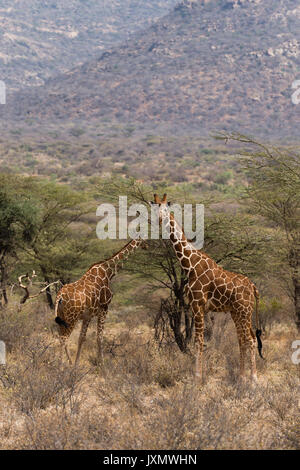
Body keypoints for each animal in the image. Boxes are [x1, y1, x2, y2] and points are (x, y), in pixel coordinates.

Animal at [55, 239, 147, 368]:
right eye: (145, 239)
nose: (147, 246)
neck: (108, 272)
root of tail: (60, 296)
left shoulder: (87, 316)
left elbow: (81, 338)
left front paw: (76, 365)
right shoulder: (104, 308)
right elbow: (100, 337)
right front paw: (102, 366)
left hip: (62, 318)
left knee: (61, 338)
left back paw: (68, 363)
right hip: (71, 318)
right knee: (64, 339)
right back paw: (59, 366)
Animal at [152, 194, 262, 382]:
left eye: (166, 208)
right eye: (154, 208)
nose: (160, 219)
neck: (190, 264)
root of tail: (253, 287)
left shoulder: (198, 305)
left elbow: (198, 341)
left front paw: (197, 377)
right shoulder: (195, 307)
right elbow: (199, 341)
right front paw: (198, 375)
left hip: (245, 310)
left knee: (251, 339)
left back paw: (254, 379)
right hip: (236, 312)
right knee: (242, 339)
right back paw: (241, 377)